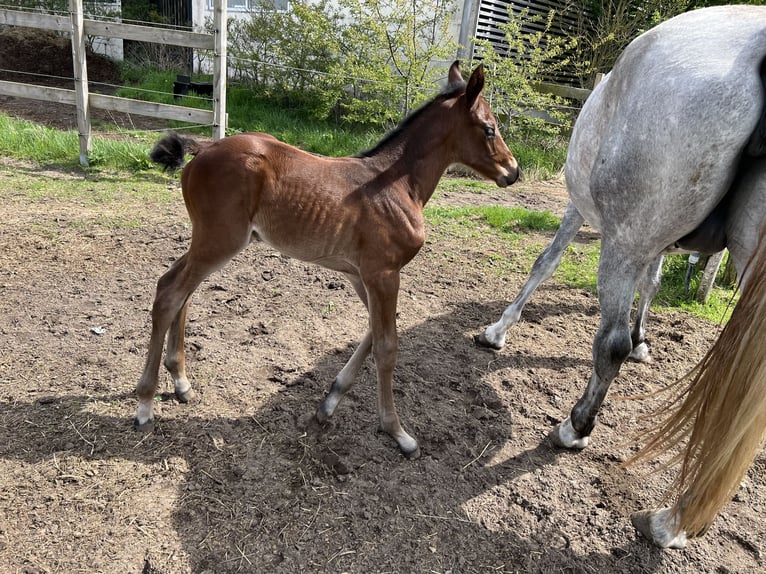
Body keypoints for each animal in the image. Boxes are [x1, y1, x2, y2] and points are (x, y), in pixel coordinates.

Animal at [138, 61, 519, 458]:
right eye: (489, 128)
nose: (513, 171)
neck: (399, 187)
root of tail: (205, 146)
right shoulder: (384, 273)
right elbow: (387, 346)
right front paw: (397, 432)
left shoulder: (362, 275)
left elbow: (374, 332)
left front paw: (329, 403)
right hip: (220, 241)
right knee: (170, 293)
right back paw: (145, 405)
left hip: (209, 241)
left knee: (181, 291)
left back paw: (181, 382)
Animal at [476, 6, 766, 453]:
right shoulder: (657, 246)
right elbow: (652, 284)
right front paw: (643, 340)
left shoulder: (577, 209)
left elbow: (545, 263)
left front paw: (497, 330)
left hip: (623, 244)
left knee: (610, 343)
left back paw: (576, 427)